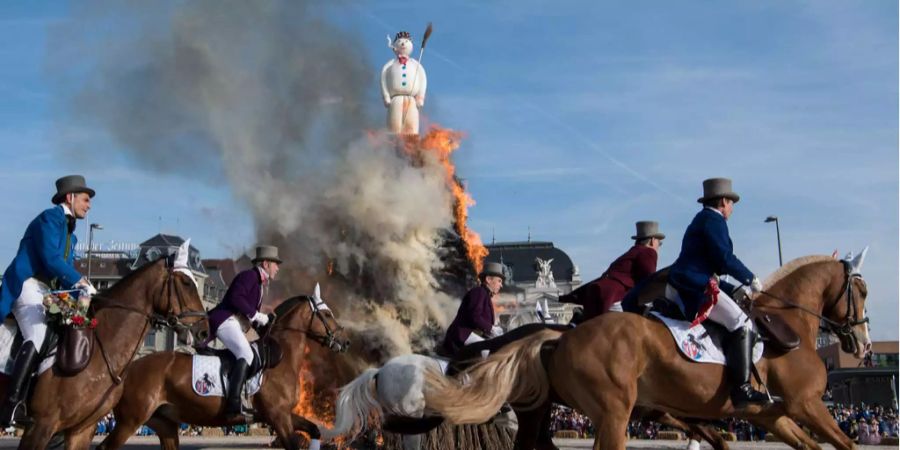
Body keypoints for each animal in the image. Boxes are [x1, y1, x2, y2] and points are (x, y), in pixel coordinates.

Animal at [96, 288, 350, 450]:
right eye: (327, 314)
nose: (345, 342)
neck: (280, 359)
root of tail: (128, 368)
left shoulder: (283, 414)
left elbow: (314, 430)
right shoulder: (278, 417)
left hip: (163, 422)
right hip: (131, 420)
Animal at [426, 250, 876, 450]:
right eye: (862, 291)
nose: (864, 344)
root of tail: (559, 337)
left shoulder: (772, 412)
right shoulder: (804, 405)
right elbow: (845, 444)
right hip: (607, 411)